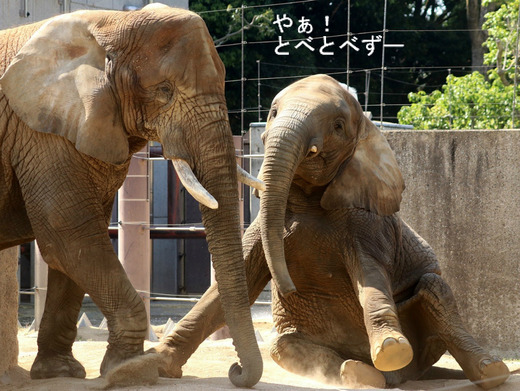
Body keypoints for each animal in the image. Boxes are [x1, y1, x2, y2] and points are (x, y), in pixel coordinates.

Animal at [149, 75, 508, 390]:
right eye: (273, 113)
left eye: (337, 126)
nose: (287, 288)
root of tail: (406, 378)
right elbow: (231, 287)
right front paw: (159, 363)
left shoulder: (366, 222)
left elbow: (370, 277)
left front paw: (391, 348)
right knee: (283, 347)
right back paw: (360, 373)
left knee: (434, 288)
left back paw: (490, 371)